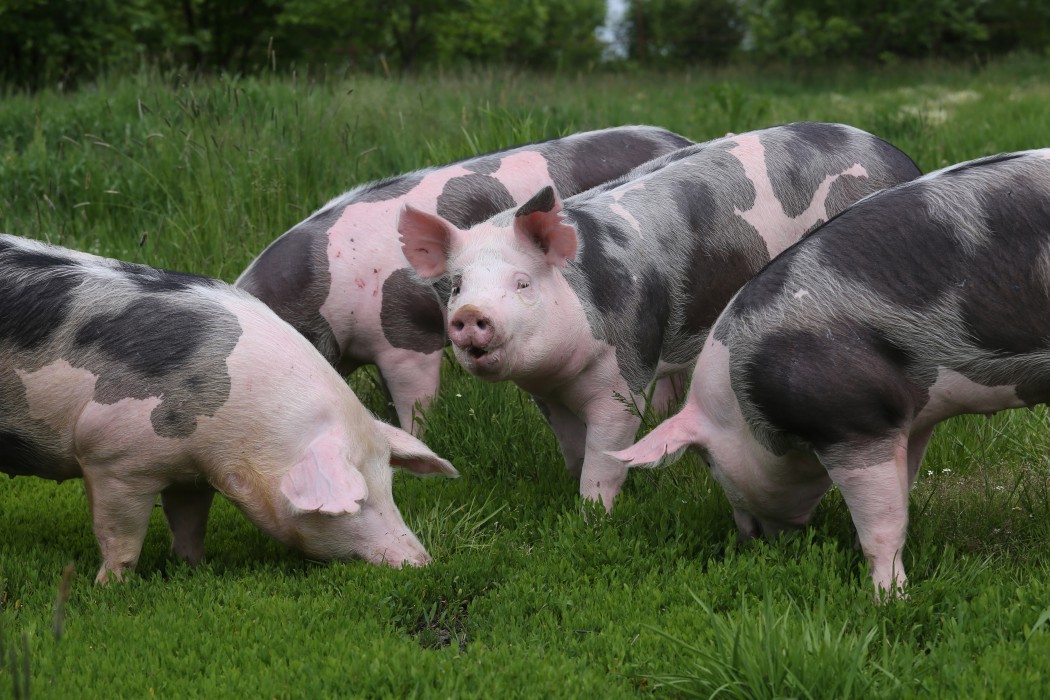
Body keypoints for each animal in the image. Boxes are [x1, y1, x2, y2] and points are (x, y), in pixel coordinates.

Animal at [1, 232, 459, 583]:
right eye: (357, 501)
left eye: (390, 488)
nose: (421, 562)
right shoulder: (111, 459)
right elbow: (121, 536)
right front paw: (110, 587)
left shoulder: (191, 474)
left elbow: (189, 523)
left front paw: (190, 569)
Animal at [396, 123, 923, 510]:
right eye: (458, 286)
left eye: (523, 283)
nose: (470, 314)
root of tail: (895, 153)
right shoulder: (546, 395)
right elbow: (572, 448)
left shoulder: (626, 370)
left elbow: (605, 455)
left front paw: (592, 517)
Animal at [613, 151, 1050, 600]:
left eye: (708, 463)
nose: (750, 538)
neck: (741, 404)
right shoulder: (910, 415)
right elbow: (903, 491)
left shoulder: (855, 420)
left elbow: (883, 523)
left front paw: (888, 599)